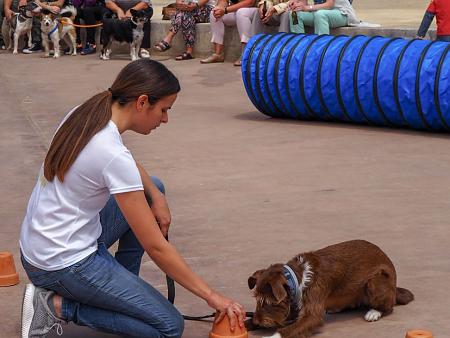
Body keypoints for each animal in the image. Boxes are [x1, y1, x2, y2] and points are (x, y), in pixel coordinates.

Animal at [248, 240, 414, 338]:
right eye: (257, 299)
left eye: (268, 302)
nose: (257, 321)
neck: (297, 277)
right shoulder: (292, 305)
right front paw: (248, 322)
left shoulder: (312, 313)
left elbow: (285, 330)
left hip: (376, 281)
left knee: (388, 306)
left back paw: (374, 312)